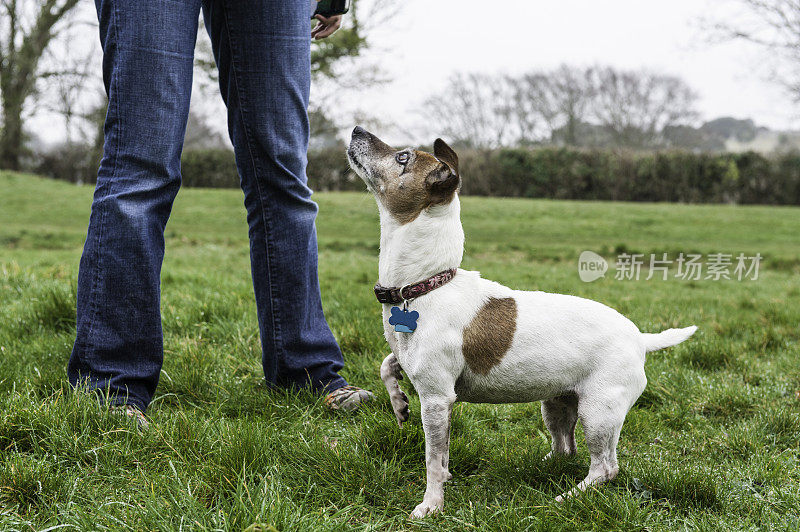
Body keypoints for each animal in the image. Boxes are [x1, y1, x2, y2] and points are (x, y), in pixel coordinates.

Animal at [346, 127, 696, 516]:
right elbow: (387, 363)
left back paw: (568, 497)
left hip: (599, 412)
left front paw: (431, 506)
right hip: (558, 404)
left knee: (605, 467)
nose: (358, 129)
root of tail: (640, 338)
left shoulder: (437, 399)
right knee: (565, 448)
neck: (427, 284)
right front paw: (398, 404)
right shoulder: (413, 364)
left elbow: (434, 460)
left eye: (402, 158)